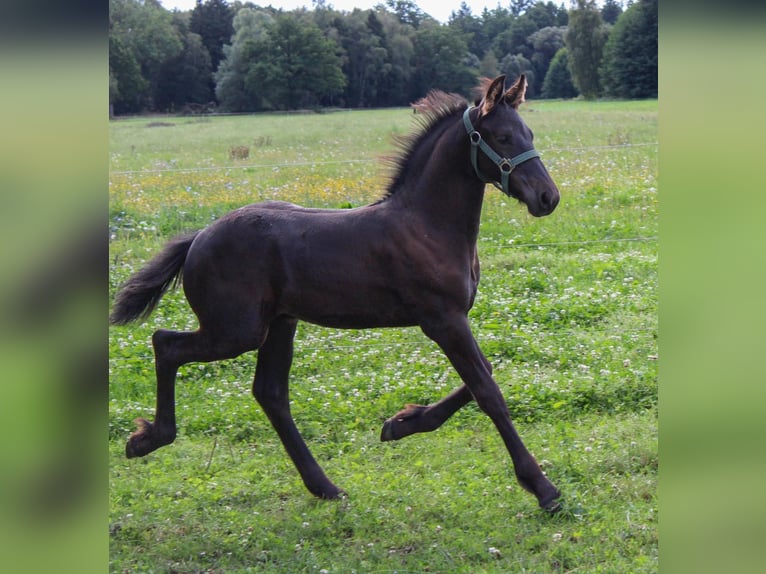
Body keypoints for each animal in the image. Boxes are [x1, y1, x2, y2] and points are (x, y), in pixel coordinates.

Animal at [110, 75, 562, 512]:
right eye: (503, 137)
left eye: (529, 133)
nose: (548, 197)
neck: (427, 225)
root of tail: (198, 238)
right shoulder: (443, 320)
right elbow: (488, 391)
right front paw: (543, 489)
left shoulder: (451, 321)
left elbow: (486, 372)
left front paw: (401, 423)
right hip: (236, 331)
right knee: (166, 344)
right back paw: (148, 439)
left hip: (279, 323)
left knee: (270, 393)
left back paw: (325, 487)